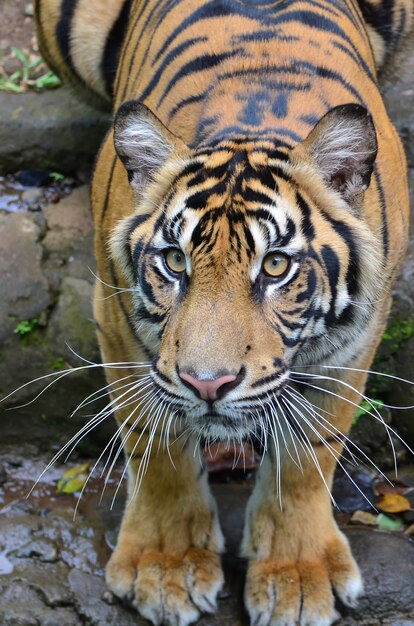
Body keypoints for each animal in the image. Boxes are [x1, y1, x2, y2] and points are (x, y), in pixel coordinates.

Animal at [34, 1, 410, 624]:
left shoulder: (355, 341)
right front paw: (165, 567)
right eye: (174, 261)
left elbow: (308, 456)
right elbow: (156, 445)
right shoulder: (119, 322)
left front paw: (296, 575)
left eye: (275, 266)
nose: (207, 384)